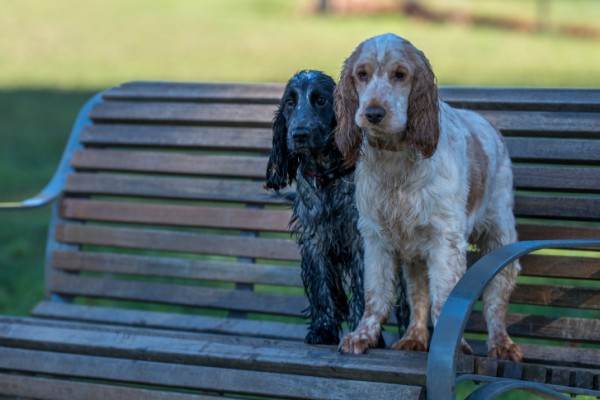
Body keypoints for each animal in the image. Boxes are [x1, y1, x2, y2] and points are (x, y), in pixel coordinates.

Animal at [266, 70, 410, 346]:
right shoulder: (315, 240)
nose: (298, 134)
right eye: (290, 102)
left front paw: (364, 334)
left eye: (321, 100)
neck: (327, 177)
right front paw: (323, 329)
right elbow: (322, 289)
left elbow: (364, 289)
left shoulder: (361, 241)